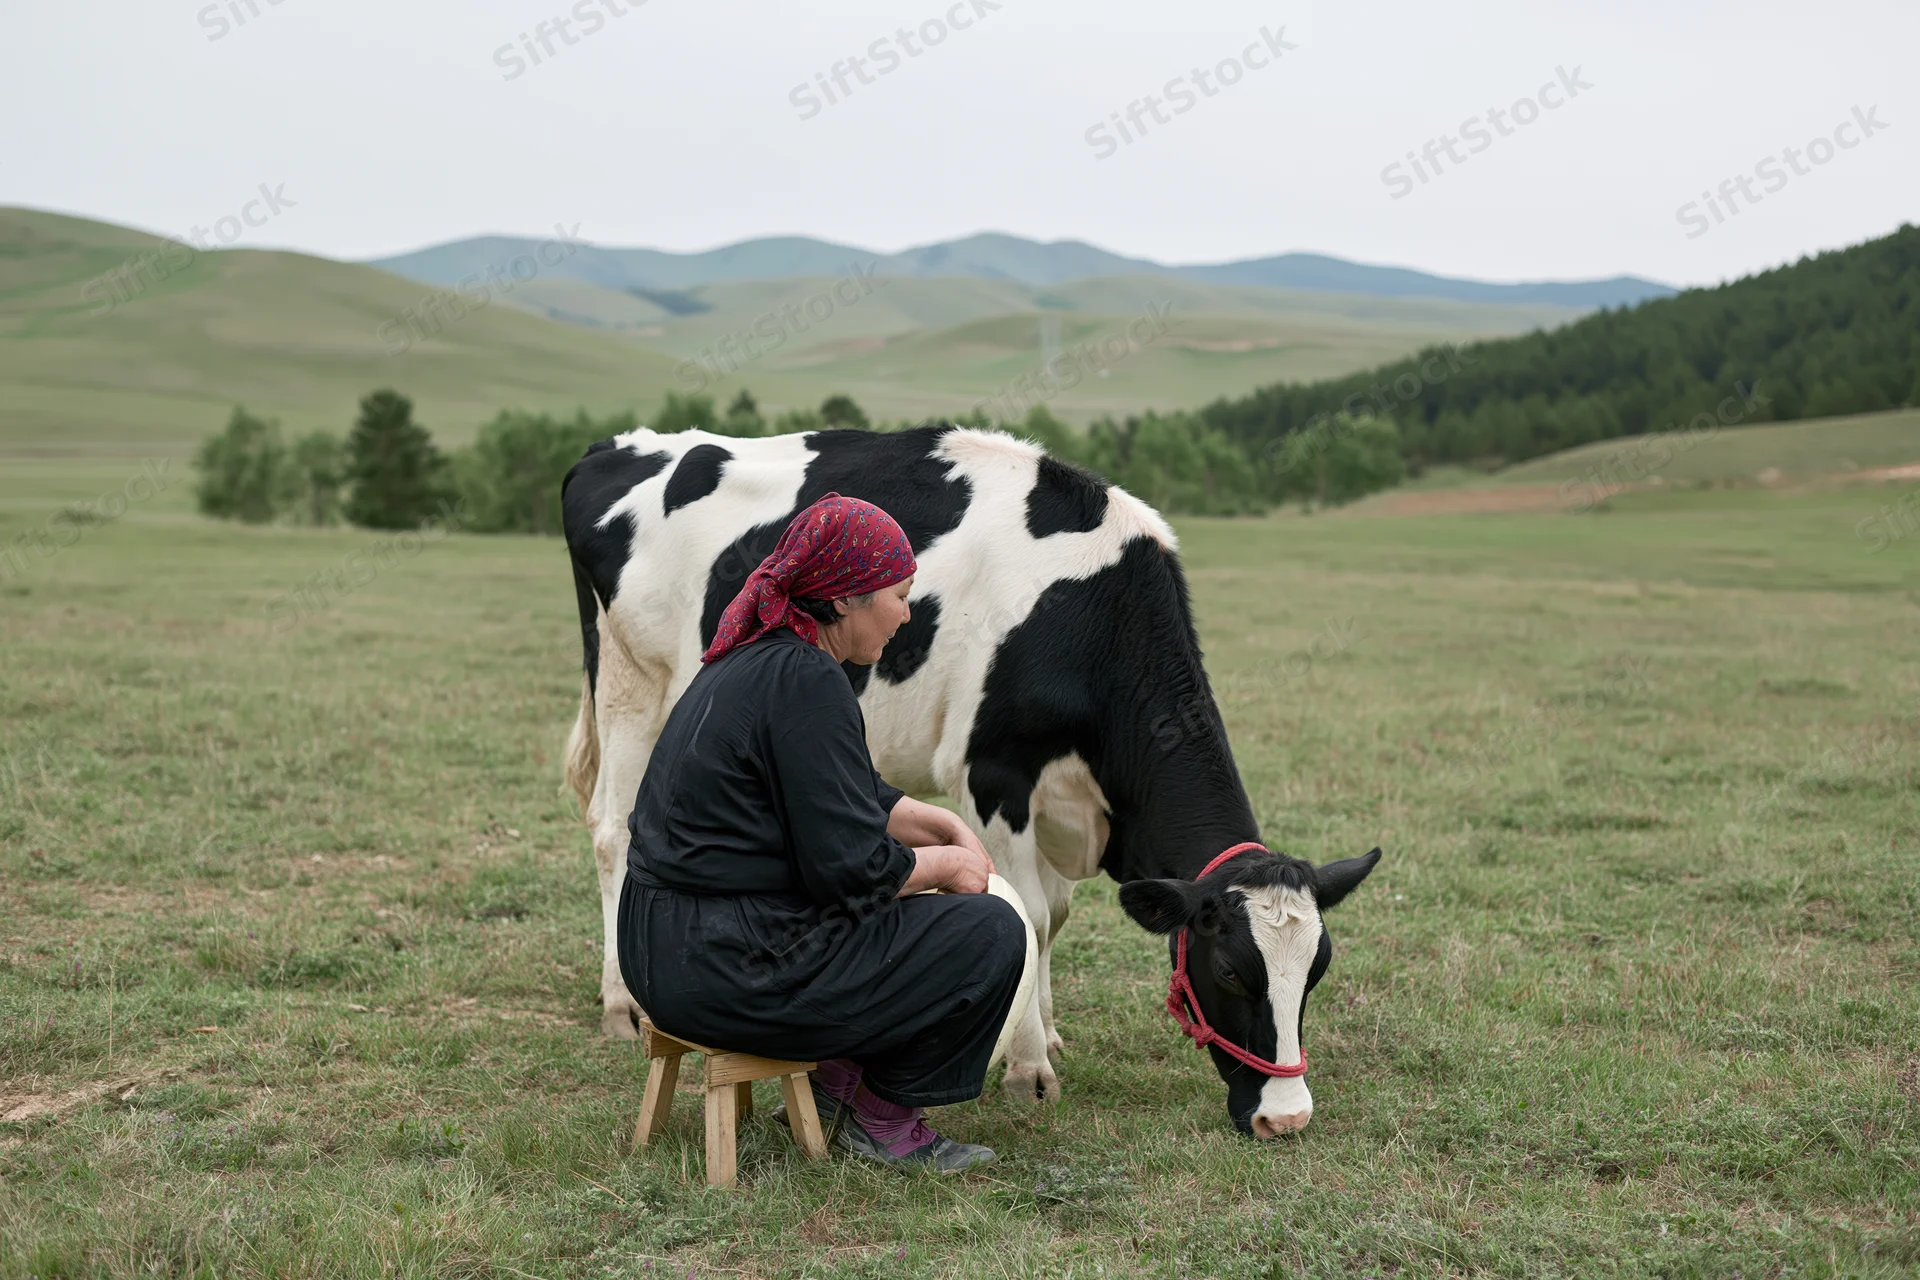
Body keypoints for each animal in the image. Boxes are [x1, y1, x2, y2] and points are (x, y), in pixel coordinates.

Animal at [560, 423, 1381, 1137]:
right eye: (1233, 973)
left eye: (1313, 976)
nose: (1285, 1118)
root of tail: (621, 444)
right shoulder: (993, 772)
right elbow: (1031, 915)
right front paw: (1028, 1070)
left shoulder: (1058, 798)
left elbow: (1055, 913)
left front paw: (1045, 1032)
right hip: (631, 684)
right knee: (614, 830)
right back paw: (622, 1003)